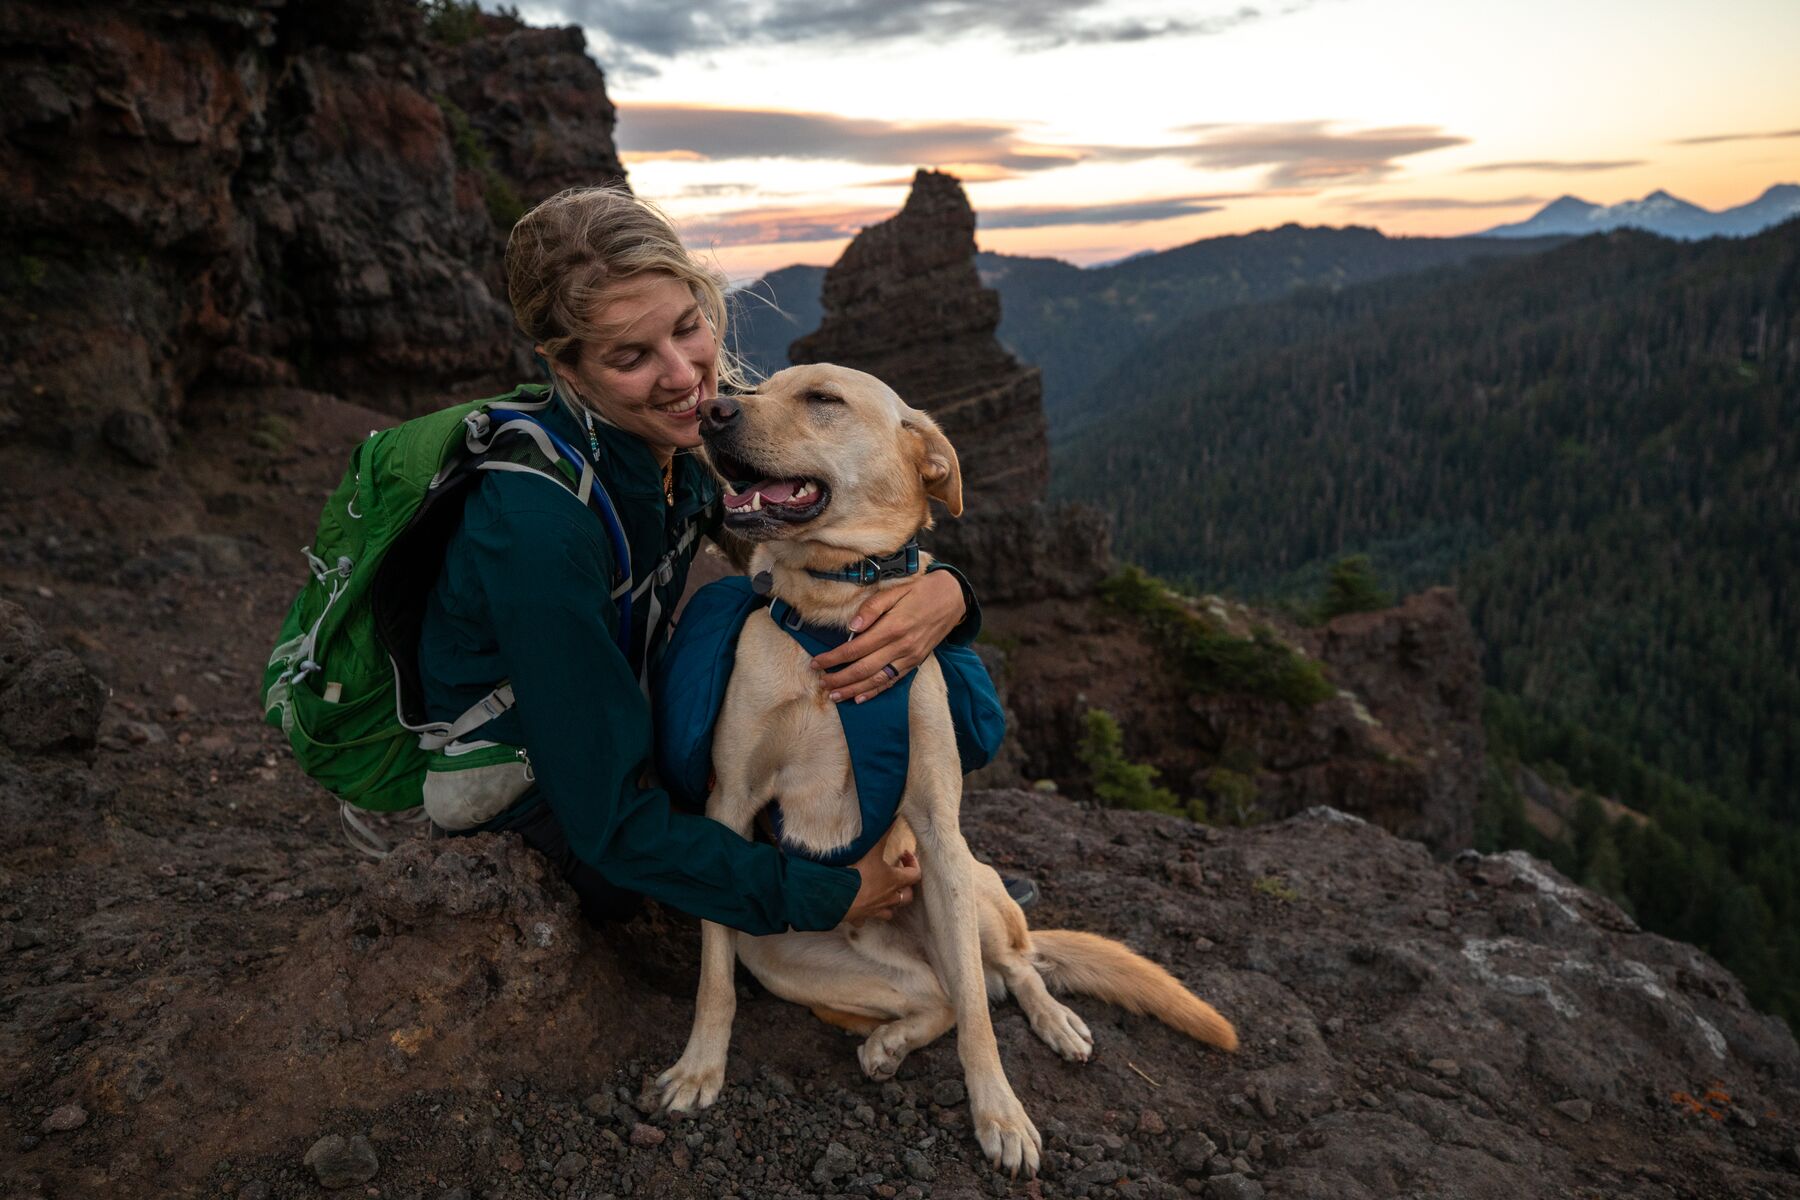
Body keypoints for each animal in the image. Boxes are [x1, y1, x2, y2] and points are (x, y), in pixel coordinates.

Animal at [662, 363, 1238, 1173]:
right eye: (755, 386)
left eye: (823, 400)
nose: (711, 411)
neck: (834, 609)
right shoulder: (731, 806)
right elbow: (715, 979)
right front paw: (699, 1069)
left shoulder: (937, 829)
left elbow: (977, 1018)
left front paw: (1000, 1114)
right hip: (782, 952)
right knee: (935, 995)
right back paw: (886, 1046)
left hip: (970, 888)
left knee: (1004, 974)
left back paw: (1054, 1021)